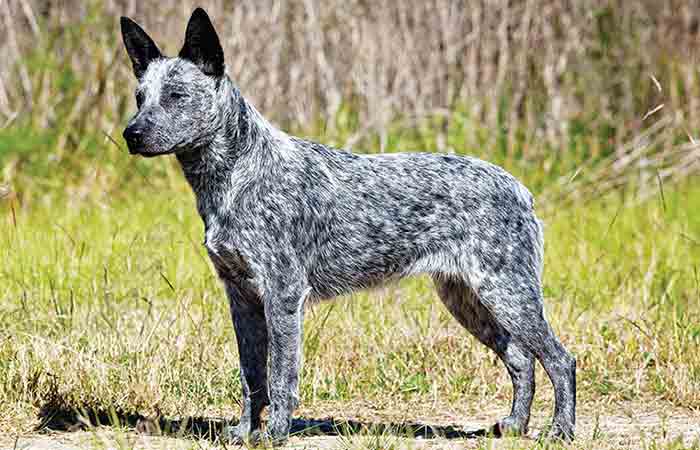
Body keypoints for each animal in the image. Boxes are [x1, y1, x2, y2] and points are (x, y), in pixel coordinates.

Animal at [121, 7, 576, 446]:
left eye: (177, 96)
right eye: (140, 97)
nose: (131, 134)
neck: (238, 174)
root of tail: (520, 188)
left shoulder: (283, 294)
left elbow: (280, 375)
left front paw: (274, 434)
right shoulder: (241, 297)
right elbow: (252, 376)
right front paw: (245, 432)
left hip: (507, 294)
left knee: (559, 359)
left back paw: (560, 432)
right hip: (467, 299)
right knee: (521, 359)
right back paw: (515, 425)